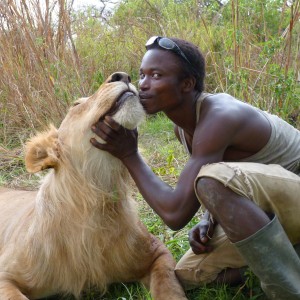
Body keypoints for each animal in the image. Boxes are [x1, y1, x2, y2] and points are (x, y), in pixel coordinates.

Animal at [0, 72, 188, 300]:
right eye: (76, 104)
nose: (122, 75)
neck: (96, 199)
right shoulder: (6, 274)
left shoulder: (156, 251)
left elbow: (167, 285)